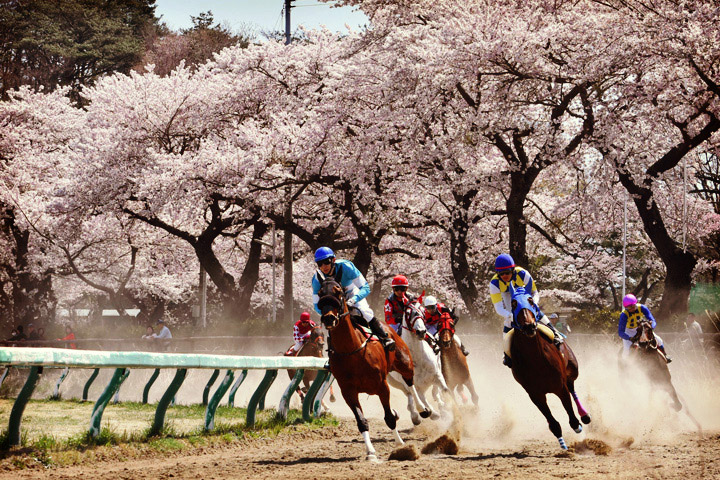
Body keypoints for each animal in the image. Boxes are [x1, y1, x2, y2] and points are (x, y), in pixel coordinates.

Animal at [316, 278, 422, 462]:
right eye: (321, 293)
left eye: (338, 291)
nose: (329, 318)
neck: (352, 350)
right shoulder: (348, 391)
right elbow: (362, 421)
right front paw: (371, 452)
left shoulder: (382, 386)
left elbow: (389, 418)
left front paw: (400, 444)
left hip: (405, 363)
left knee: (410, 383)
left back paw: (425, 410)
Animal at [388, 298, 444, 426]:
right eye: (408, 312)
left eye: (423, 310)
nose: (421, 331)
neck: (418, 357)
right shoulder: (411, 382)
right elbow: (417, 397)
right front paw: (425, 412)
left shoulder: (437, 373)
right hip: (394, 382)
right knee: (411, 395)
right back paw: (418, 415)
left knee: (432, 392)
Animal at [506, 284, 592, 450]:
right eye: (513, 304)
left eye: (530, 300)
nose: (529, 326)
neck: (535, 359)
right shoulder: (535, 394)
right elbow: (552, 422)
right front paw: (563, 444)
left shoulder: (560, 386)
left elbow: (572, 418)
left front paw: (578, 426)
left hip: (572, 371)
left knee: (572, 388)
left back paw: (584, 415)